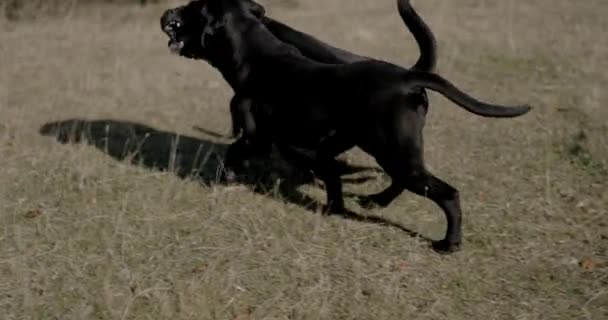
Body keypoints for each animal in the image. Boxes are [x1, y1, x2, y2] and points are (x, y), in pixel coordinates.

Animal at [160, 0, 532, 252]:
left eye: (191, 9)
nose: (166, 13)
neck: (256, 56)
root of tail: (408, 77)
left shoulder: (265, 139)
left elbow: (234, 150)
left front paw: (229, 178)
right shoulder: (318, 147)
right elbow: (332, 177)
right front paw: (335, 208)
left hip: (393, 150)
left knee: (447, 193)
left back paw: (447, 243)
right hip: (390, 149)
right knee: (404, 181)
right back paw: (375, 202)